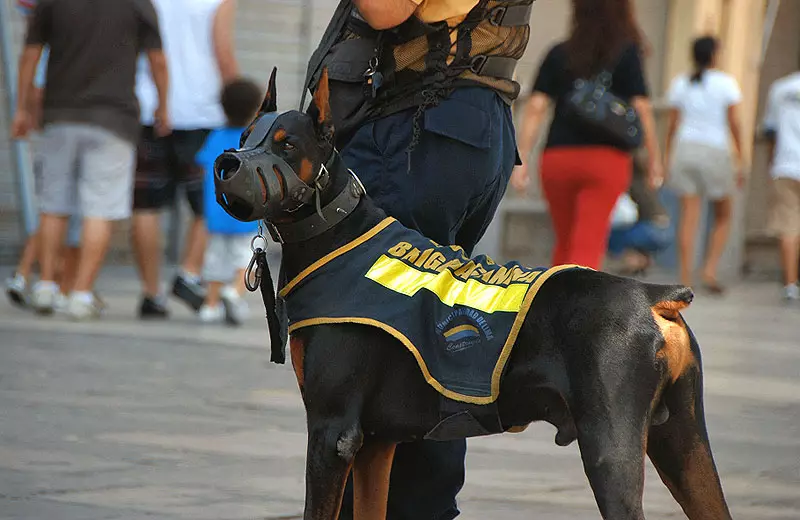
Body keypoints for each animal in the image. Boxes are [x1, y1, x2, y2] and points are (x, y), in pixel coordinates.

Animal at [211, 70, 732, 520]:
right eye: (245, 137)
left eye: (286, 143)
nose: (226, 163)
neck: (335, 231)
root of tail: (654, 295)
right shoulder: (376, 444)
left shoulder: (332, 431)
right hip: (684, 444)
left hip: (611, 448)